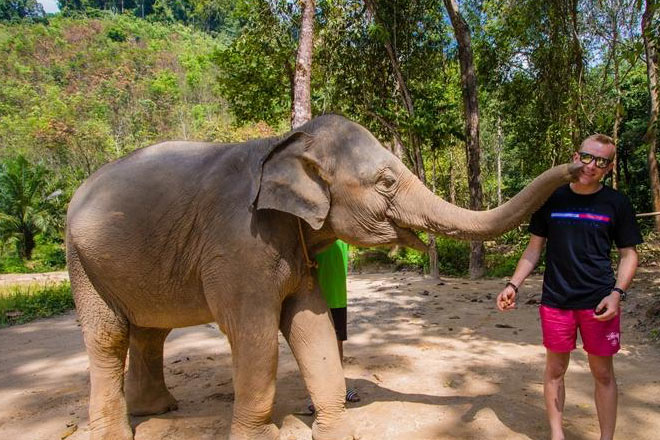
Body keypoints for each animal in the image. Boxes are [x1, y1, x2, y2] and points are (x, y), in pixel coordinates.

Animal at [66, 114, 581, 440]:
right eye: (386, 182)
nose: (582, 162)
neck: (284, 142)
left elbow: (312, 323)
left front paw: (338, 431)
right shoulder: (239, 243)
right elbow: (253, 334)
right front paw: (261, 438)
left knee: (149, 331)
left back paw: (158, 411)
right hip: (81, 261)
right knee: (109, 336)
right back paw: (119, 431)